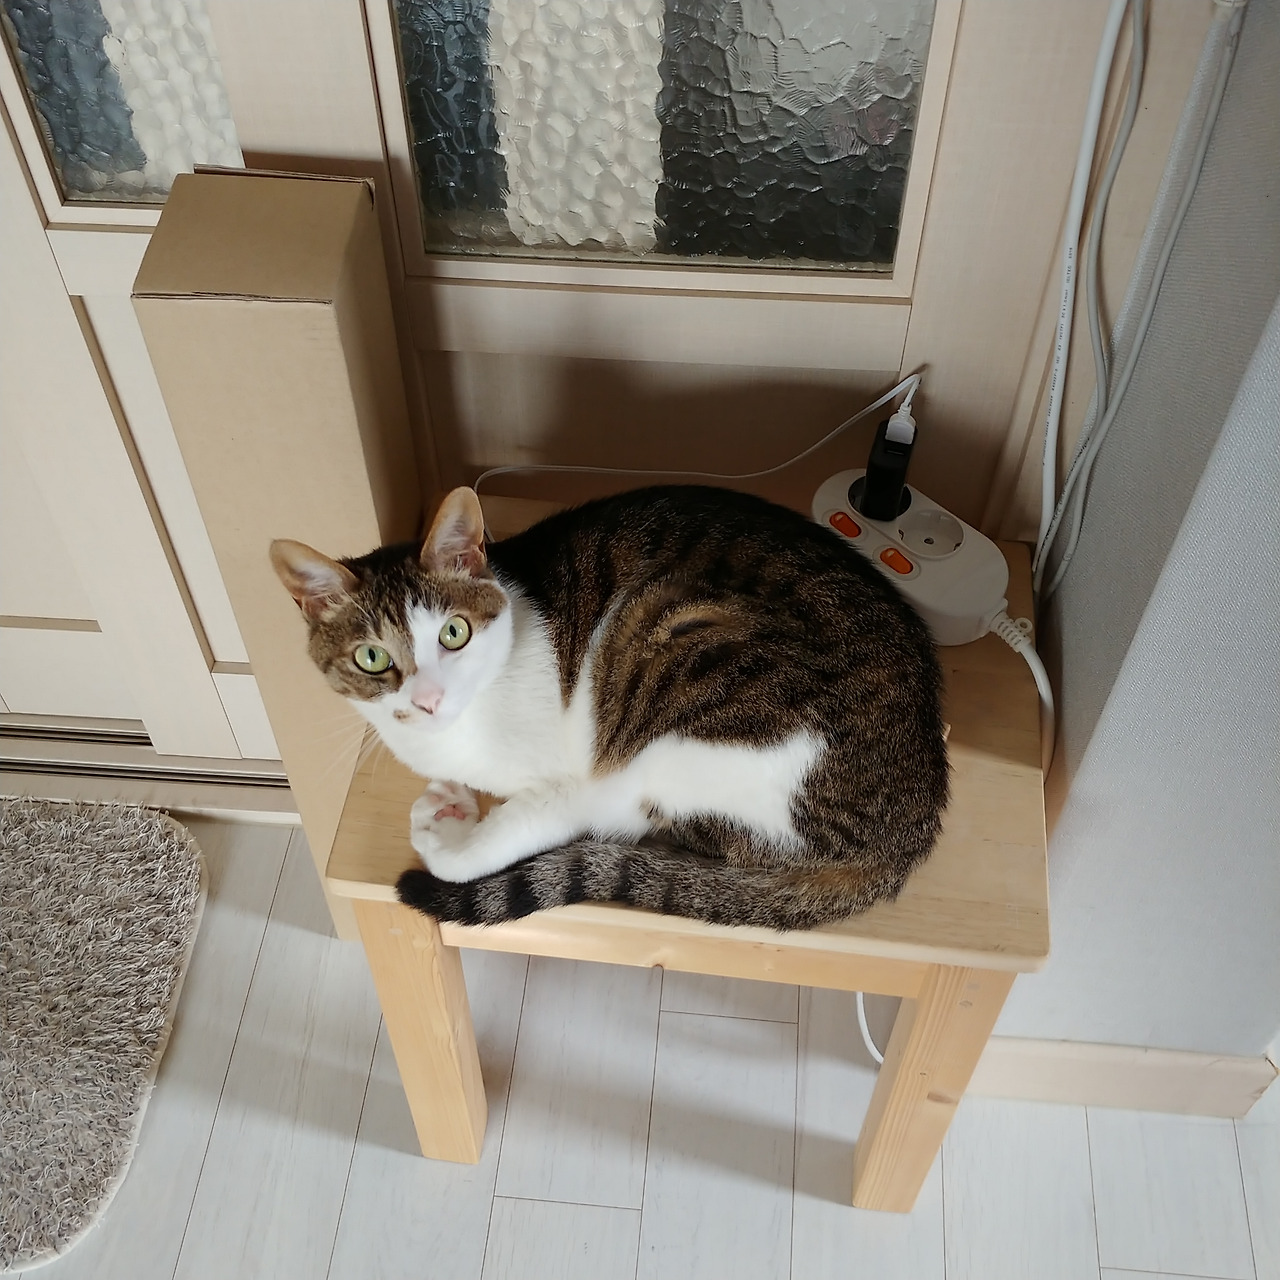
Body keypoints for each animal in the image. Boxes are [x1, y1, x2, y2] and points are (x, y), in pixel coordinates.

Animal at [271, 485, 948, 931]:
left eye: (454, 633)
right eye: (372, 658)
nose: (428, 699)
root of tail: (907, 836)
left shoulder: (578, 788)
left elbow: (476, 852)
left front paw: (447, 822)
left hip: (669, 651)